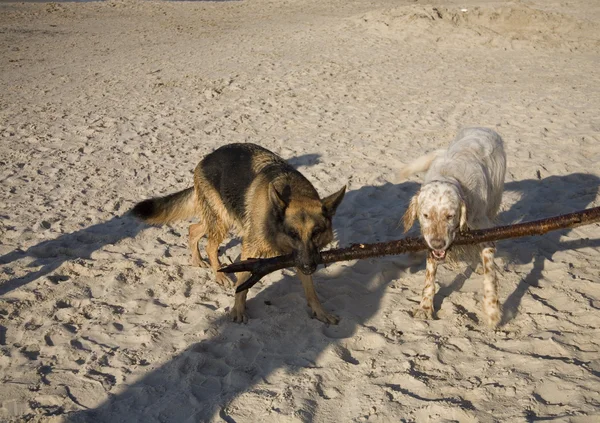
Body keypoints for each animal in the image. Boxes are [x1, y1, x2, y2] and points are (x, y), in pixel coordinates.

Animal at [131, 142, 346, 324]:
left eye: (316, 232)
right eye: (292, 233)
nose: (310, 266)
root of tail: (207, 158)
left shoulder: (300, 256)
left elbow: (311, 290)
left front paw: (320, 312)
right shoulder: (252, 249)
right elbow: (242, 283)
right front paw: (238, 310)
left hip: (219, 219)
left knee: (193, 230)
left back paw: (197, 259)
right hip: (221, 221)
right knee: (210, 246)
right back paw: (218, 274)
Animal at [400, 127, 504, 330]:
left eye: (450, 216)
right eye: (426, 215)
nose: (438, 244)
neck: (450, 175)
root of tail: (482, 128)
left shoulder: (484, 230)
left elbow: (490, 275)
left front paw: (492, 311)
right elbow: (429, 277)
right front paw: (425, 307)